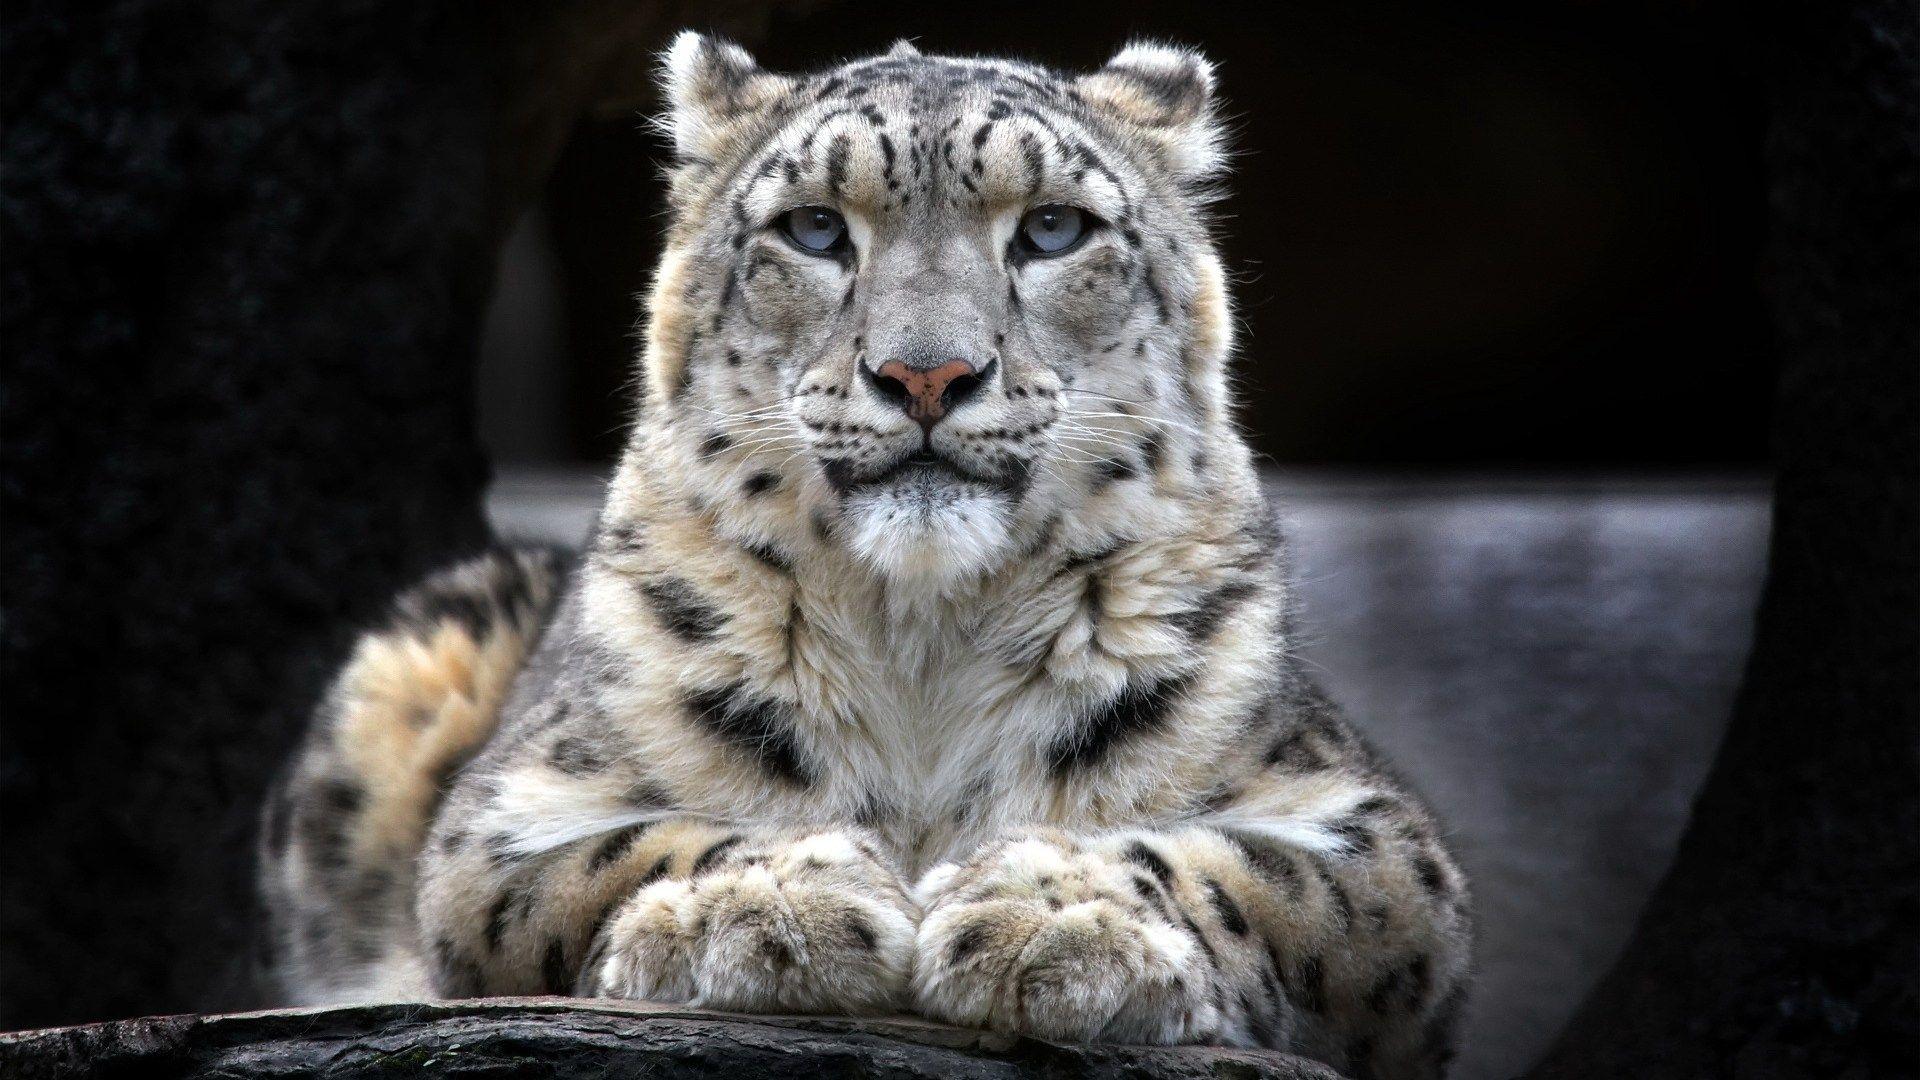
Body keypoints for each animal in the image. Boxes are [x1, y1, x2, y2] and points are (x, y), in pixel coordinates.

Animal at [258, 33, 1472, 1078]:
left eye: (1053, 229)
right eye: (813, 229)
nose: (927, 375)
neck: (924, 646)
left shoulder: (1372, 831)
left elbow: (1249, 871)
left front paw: (1051, 916)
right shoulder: (508, 813)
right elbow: (622, 850)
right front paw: (767, 903)